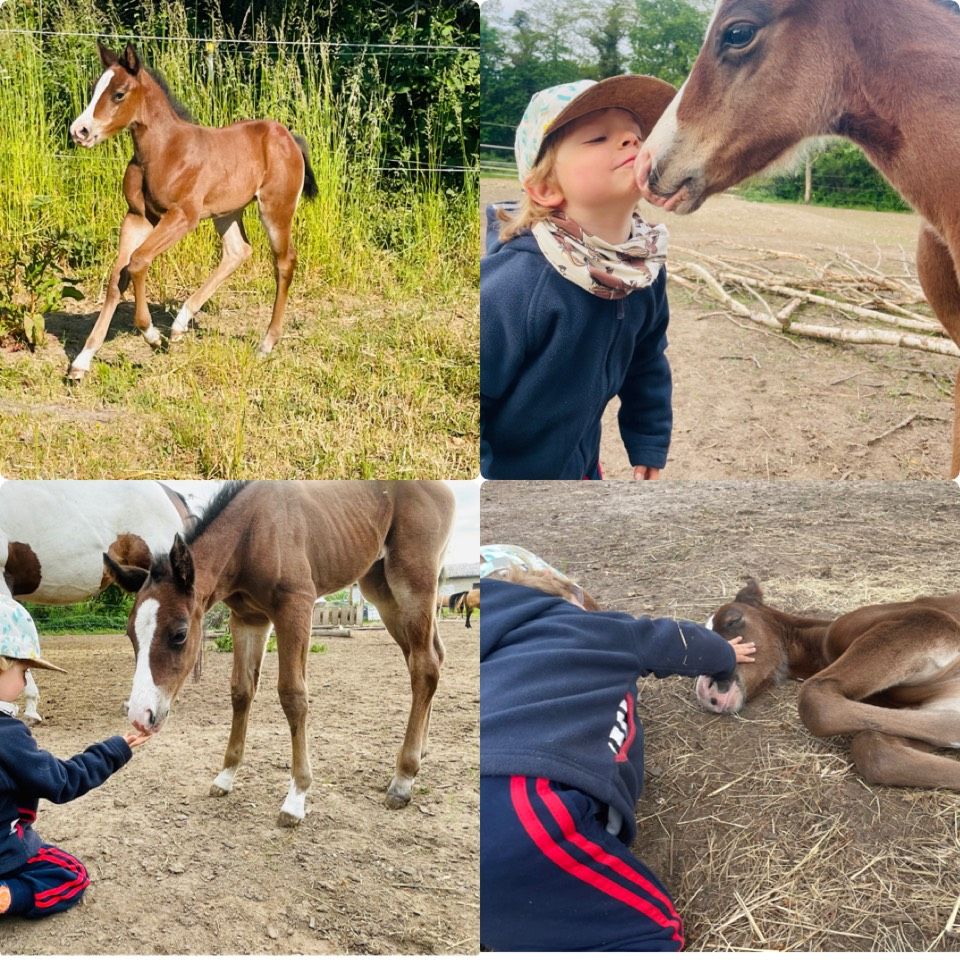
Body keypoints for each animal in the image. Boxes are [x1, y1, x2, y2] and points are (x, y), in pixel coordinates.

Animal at [65, 41, 318, 380]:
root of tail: (290, 138)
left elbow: (138, 262)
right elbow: (117, 278)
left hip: (276, 208)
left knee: (284, 262)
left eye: (118, 94)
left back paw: (265, 344)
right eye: (95, 89)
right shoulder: (137, 217)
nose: (79, 131)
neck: (163, 151)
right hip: (227, 212)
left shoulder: (182, 216)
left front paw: (152, 336)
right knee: (238, 251)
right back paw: (179, 324)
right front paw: (82, 361)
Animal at [696, 580, 960, 792]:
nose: (704, 691)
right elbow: (873, 749)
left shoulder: (926, 622)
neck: (821, 648)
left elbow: (815, 703)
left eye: (733, 619)